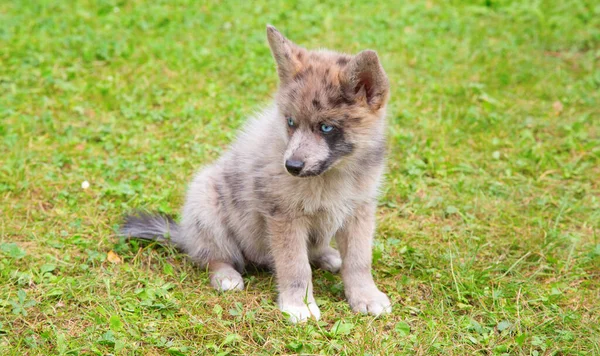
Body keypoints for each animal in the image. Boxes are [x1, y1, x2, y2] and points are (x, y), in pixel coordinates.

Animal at [122, 25, 394, 322]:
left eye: (326, 127)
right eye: (290, 122)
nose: (292, 167)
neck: (335, 173)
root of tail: (184, 234)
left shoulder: (359, 212)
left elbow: (359, 261)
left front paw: (365, 296)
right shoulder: (285, 217)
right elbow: (295, 265)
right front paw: (299, 305)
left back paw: (328, 256)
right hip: (206, 203)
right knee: (212, 256)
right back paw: (226, 276)